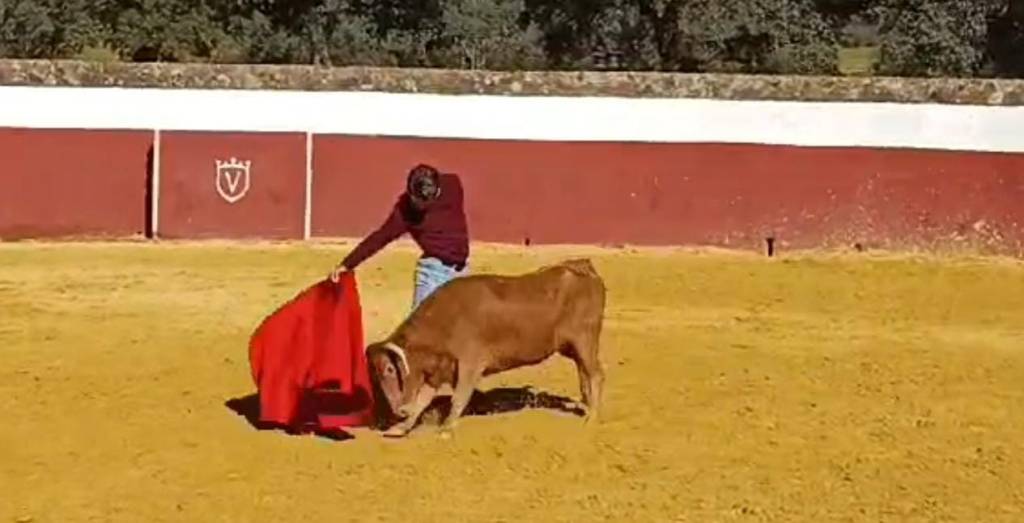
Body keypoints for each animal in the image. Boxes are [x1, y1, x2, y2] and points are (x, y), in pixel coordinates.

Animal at [365, 258, 606, 438]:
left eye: (389, 369)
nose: (397, 410)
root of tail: (584, 267)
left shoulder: (469, 364)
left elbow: (459, 397)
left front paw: (446, 429)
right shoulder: (437, 370)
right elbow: (423, 400)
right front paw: (401, 428)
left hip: (585, 340)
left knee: (595, 374)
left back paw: (592, 419)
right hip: (571, 347)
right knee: (583, 373)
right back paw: (587, 406)